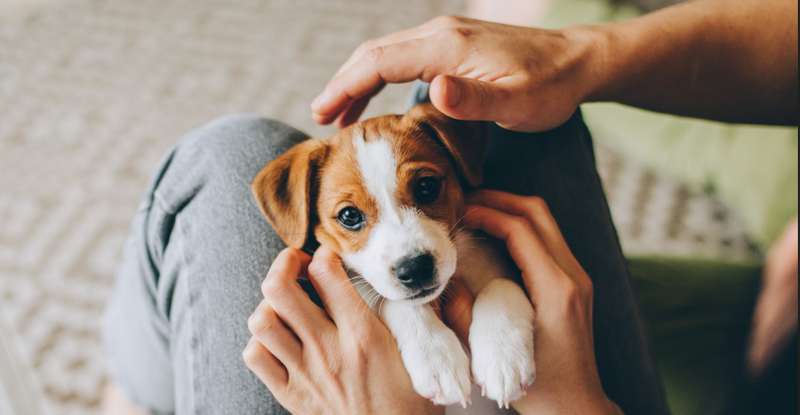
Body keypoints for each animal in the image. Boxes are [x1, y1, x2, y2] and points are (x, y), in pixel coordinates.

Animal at [253, 104, 536, 410]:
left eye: (426, 186)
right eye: (349, 215)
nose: (415, 269)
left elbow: (501, 284)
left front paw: (503, 356)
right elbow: (395, 302)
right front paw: (436, 358)